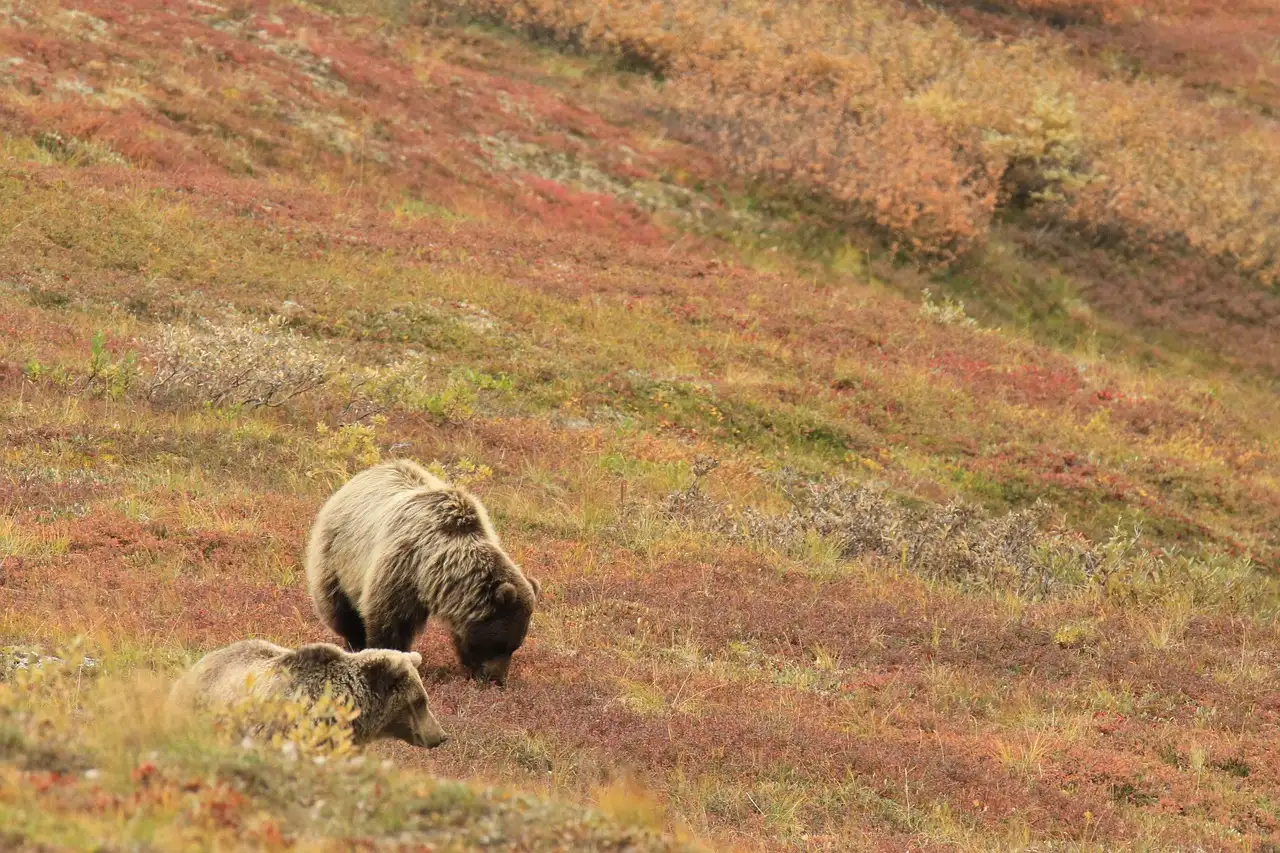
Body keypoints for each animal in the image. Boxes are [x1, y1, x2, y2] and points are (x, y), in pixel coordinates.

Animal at [304, 459, 540, 685]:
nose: (497, 680)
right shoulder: (400, 568)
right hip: (336, 557)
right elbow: (388, 622)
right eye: (500, 644)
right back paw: (353, 643)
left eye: (515, 646)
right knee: (340, 609)